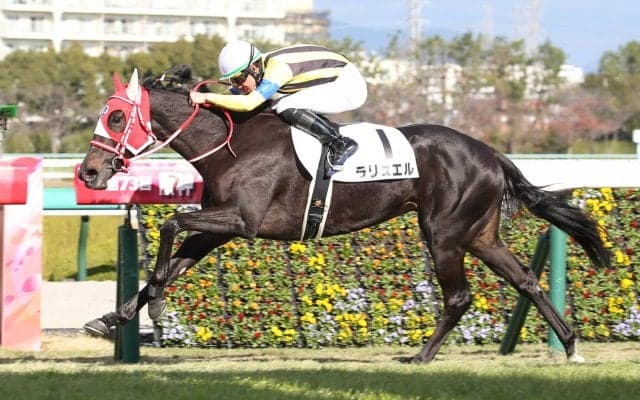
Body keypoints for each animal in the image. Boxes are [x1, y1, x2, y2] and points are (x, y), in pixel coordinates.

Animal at [78, 67, 610, 363]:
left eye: (117, 117)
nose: (88, 172)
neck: (230, 142)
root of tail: (491, 153)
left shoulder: (242, 221)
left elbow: (170, 224)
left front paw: (155, 307)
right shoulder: (219, 227)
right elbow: (171, 262)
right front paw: (111, 317)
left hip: (443, 232)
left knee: (459, 296)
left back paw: (421, 356)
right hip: (480, 234)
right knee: (526, 280)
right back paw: (570, 344)